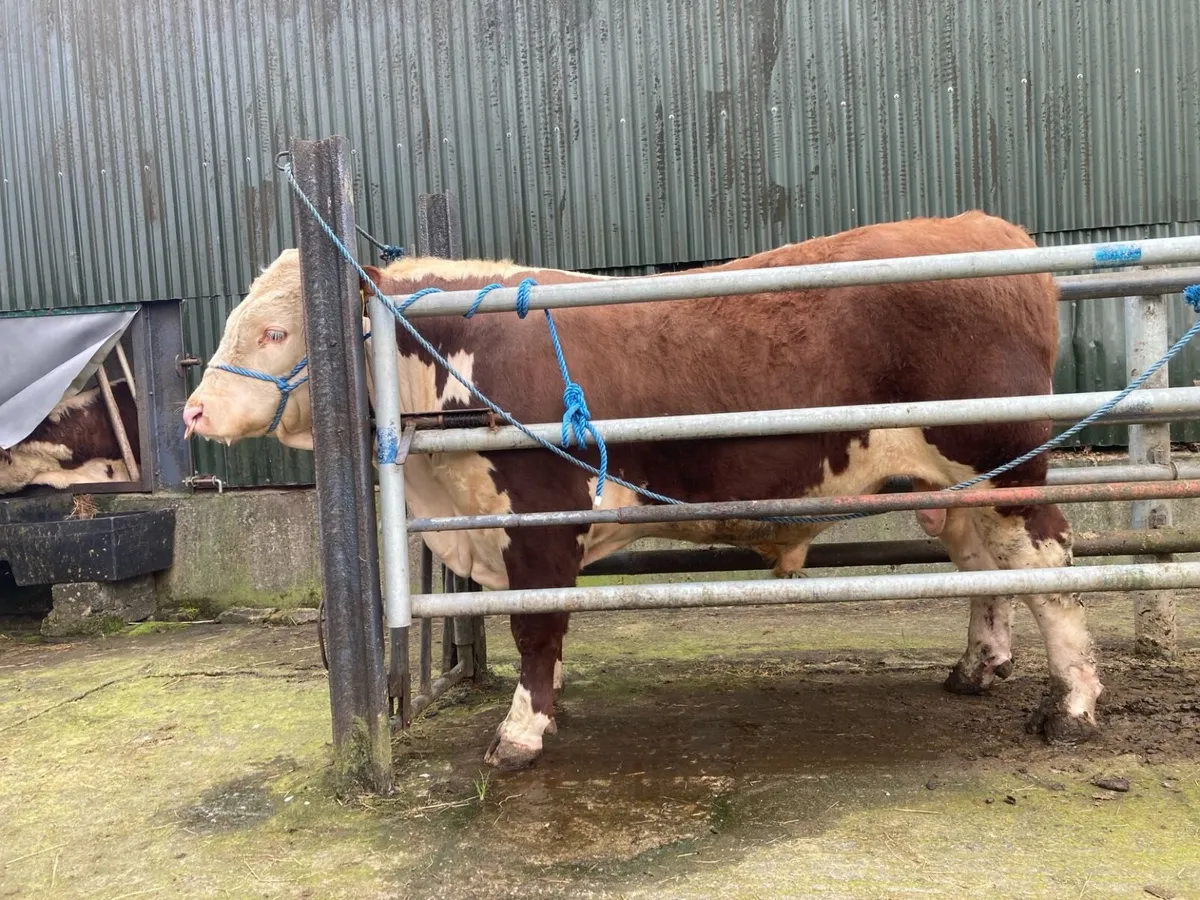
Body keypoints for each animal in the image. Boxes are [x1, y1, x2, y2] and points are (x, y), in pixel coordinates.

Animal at [183, 211, 1102, 769]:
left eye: (277, 331)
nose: (192, 409)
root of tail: (989, 231)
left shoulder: (540, 520)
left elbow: (538, 629)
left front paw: (521, 732)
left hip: (1009, 461)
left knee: (1049, 561)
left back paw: (1074, 704)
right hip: (960, 481)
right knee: (986, 563)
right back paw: (978, 667)